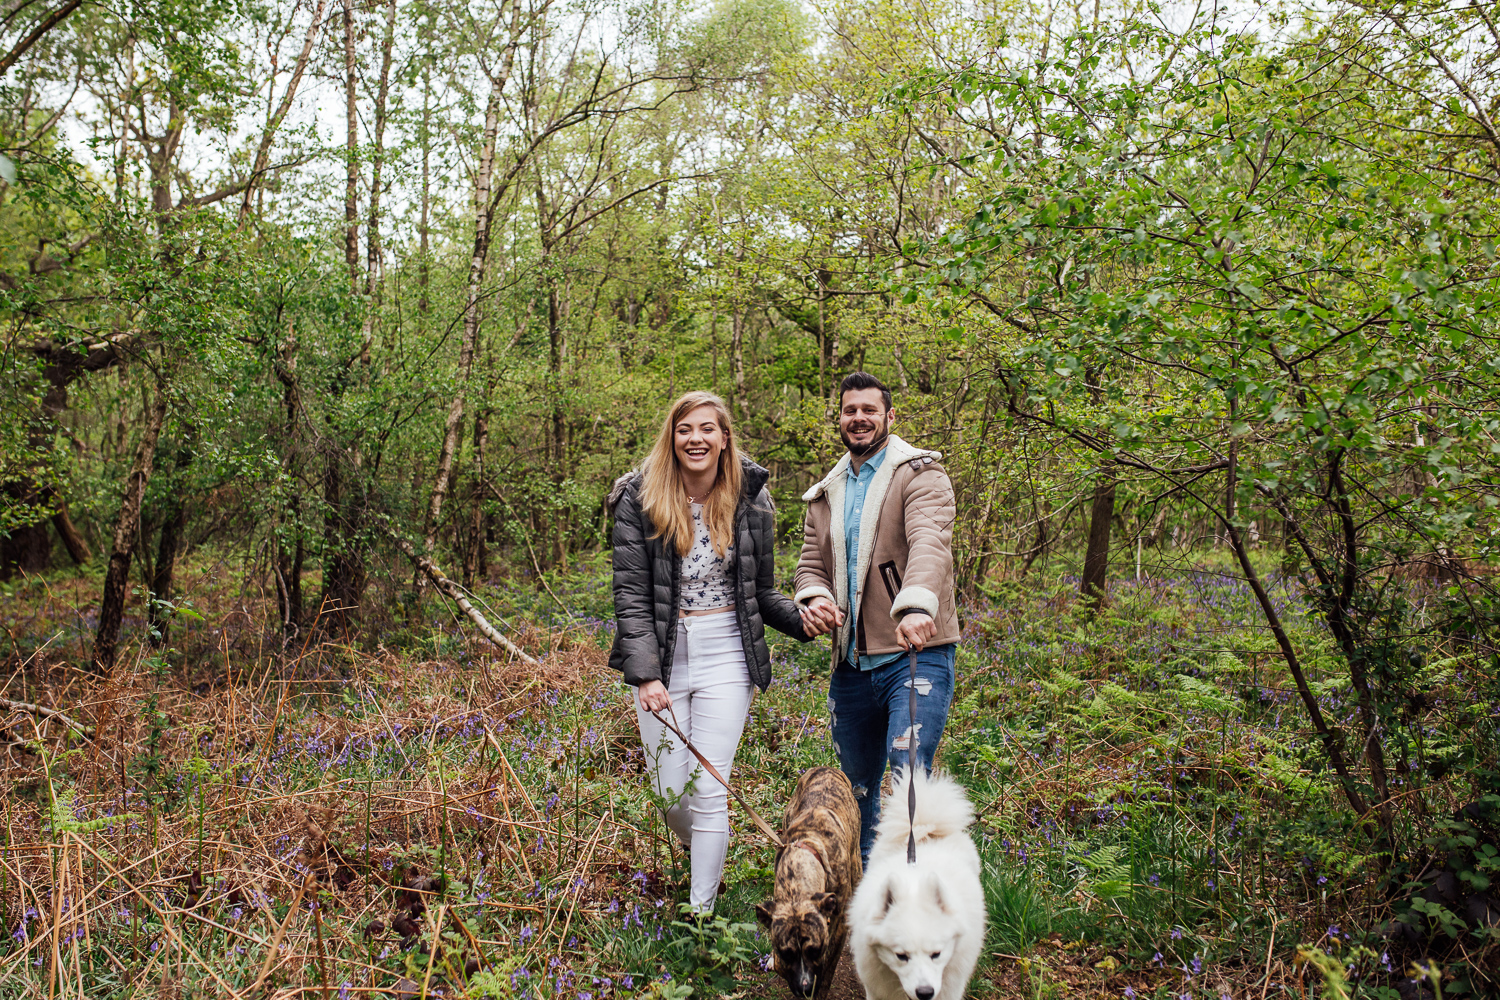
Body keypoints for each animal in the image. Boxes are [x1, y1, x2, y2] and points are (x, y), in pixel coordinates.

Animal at [756, 773, 864, 995]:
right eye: (786, 953)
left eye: (815, 950)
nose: (804, 988)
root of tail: (828, 768)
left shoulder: (837, 928)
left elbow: (827, 969)